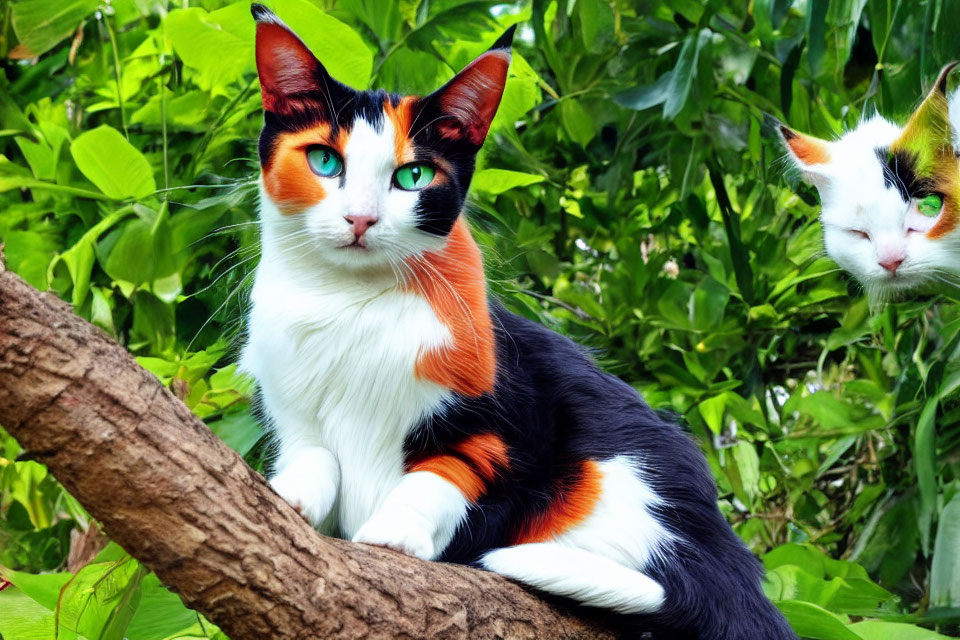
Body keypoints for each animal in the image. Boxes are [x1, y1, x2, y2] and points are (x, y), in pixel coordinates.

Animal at [242, 6, 796, 640]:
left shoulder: (513, 411)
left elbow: (449, 470)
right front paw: (290, 491)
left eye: (413, 177)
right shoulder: (288, 406)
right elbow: (314, 454)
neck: (346, 302)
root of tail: (738, 585)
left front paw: (397, 531)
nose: (361, 218)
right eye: (325, 161)